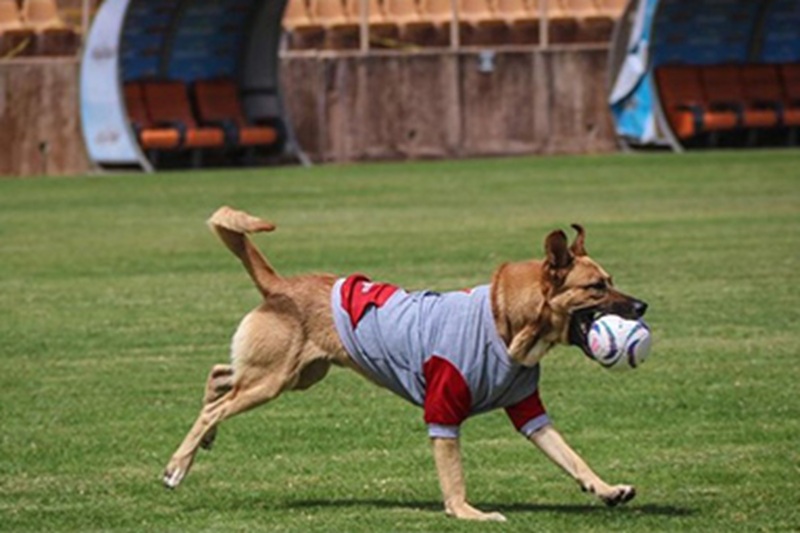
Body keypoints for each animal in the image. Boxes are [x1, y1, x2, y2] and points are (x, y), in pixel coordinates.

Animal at [164, 206, 648, 520]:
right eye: (597, 287)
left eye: (610, 281)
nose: (643, 306)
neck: (506, 322)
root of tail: (280, 285)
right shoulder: (443, 407)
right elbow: (454, 476)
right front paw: (467, 513)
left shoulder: (529, 410)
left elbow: (571, 457)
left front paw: (607, 489)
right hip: (274, 379)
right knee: (215, 406)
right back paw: (177, 466)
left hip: (295, 374)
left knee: (219, 378)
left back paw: (204, 441)